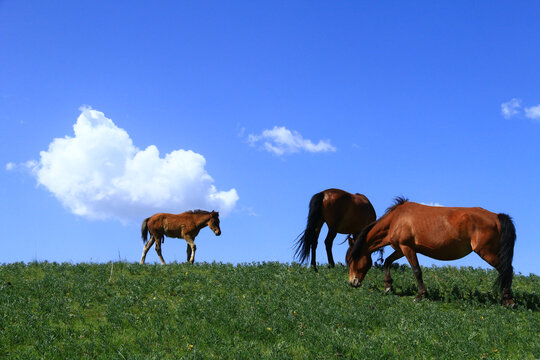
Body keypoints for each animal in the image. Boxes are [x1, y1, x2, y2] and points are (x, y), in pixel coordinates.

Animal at [348, 198, 516, 306]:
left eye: (350, 260)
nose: (352, 283)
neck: (396, 219)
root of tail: (497, 217)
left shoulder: (407, 248)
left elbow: (416, 271)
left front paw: (420, 295)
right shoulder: (401, 249)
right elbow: (388, 261)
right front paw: (388, 286)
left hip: (486, 252)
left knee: (506, 269)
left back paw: (508, 301)